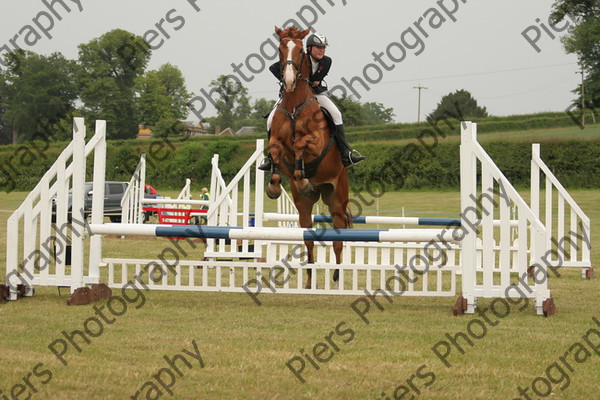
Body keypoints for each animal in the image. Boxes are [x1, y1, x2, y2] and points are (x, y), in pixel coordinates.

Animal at [268, 25, 352, 288]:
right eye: (280, 49)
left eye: (300, 51)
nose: (288, 81)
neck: (295, 105)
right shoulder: (275, 141)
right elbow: (275, 151)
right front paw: (274, 185)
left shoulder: (316, 143)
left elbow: (300, 143)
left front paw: (302, 173)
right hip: (304, 205)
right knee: (308, 237)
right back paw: (309, 279)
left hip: (337, 198)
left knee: (338, 238)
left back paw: (337, 276)